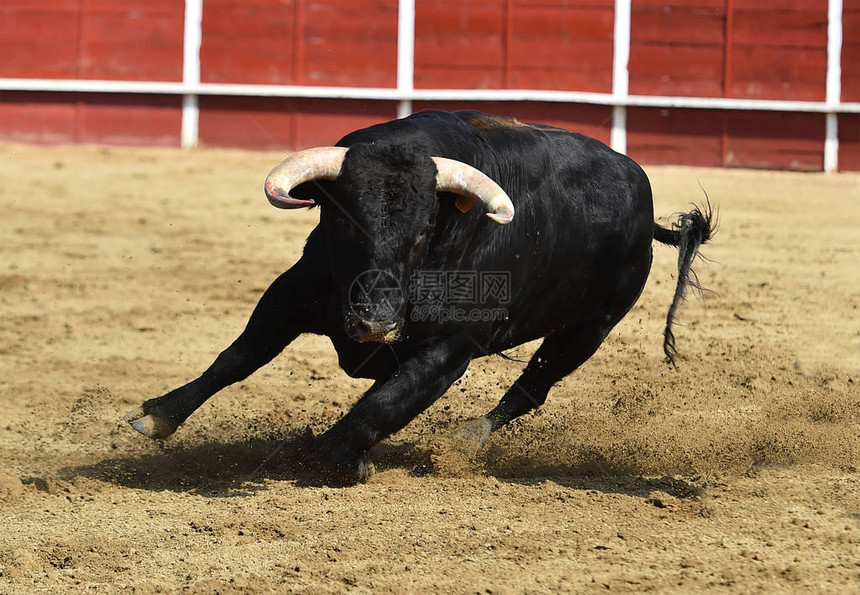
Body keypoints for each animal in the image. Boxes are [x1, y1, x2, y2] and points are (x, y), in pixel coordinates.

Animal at [124, 110, 716, 484]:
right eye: (343, 223)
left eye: (423, 230)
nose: (375, 323)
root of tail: (644, 204)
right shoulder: (293, 293)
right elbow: (239, 356)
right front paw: (158, 415)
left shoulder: (450, 350)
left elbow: (382, 406)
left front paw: (339, 458)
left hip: (590, 327)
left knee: (532, 387)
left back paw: (462, 441)